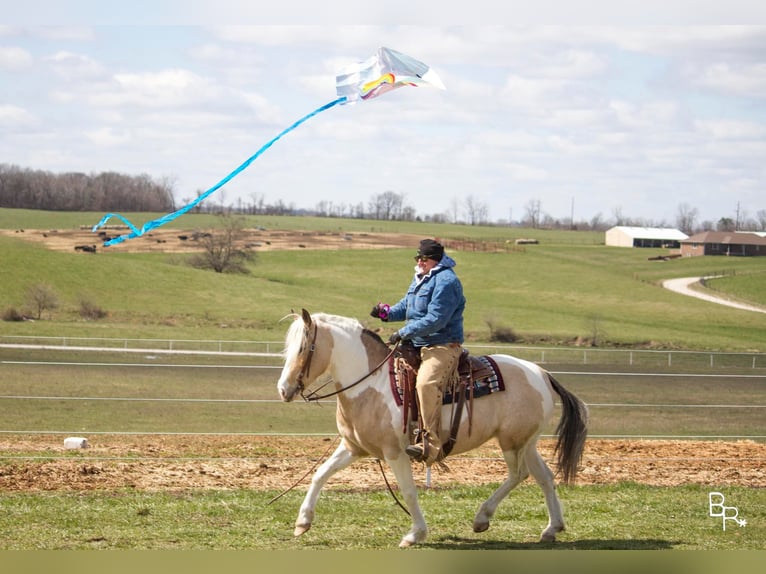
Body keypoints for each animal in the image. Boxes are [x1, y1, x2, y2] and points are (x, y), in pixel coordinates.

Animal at [280, 308, 592, 552]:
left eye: (302, 348)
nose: (283, 389)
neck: (372, 383)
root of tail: (541, 373)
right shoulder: (353, 448)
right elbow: (320, 475)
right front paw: (302, 522)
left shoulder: (395, 453)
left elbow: (408, 491)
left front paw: (415, 534)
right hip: (527, 442)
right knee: (544, 477)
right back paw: (551, 528)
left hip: (512, 442)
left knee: (519, 474)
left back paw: (482, 518)